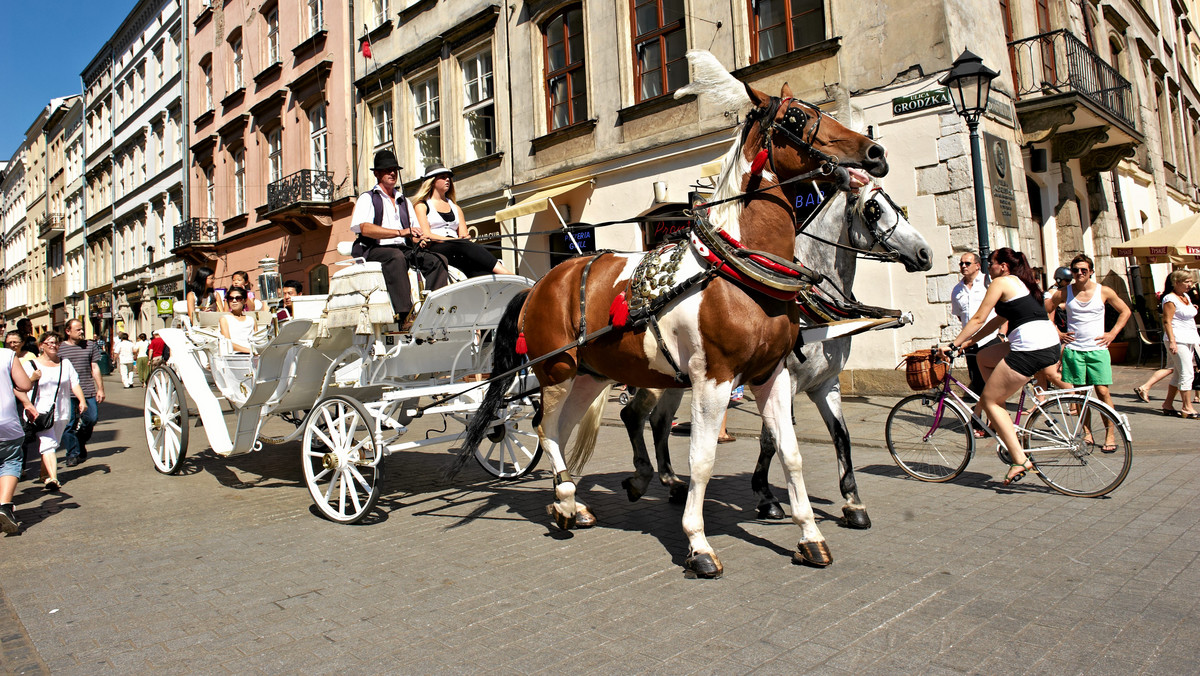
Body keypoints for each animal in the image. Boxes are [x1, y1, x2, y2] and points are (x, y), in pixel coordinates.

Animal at [451, 51, 892, 576]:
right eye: (796, 119)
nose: (874, 153)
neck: (740, 269)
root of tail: (541, 283)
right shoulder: (713, 379)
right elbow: (701, 460)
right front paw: (698, 543)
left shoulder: (772, 374)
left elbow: (790, 452)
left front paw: (810, 535)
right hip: (555, 371)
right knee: (546, 427)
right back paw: (564, 501)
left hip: (591, 375)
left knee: (566, 426)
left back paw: (572, 501)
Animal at [614, 181, 931, 528]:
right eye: (875, 210)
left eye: (896, 206)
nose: (925, 254)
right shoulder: (781, 379)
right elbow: (770, 438)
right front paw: (766, 499)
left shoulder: (826, 383)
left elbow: (841, 435)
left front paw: (853, 502)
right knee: (634, 415)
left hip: (678, 379)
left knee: (658, 421)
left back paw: (671, 483)